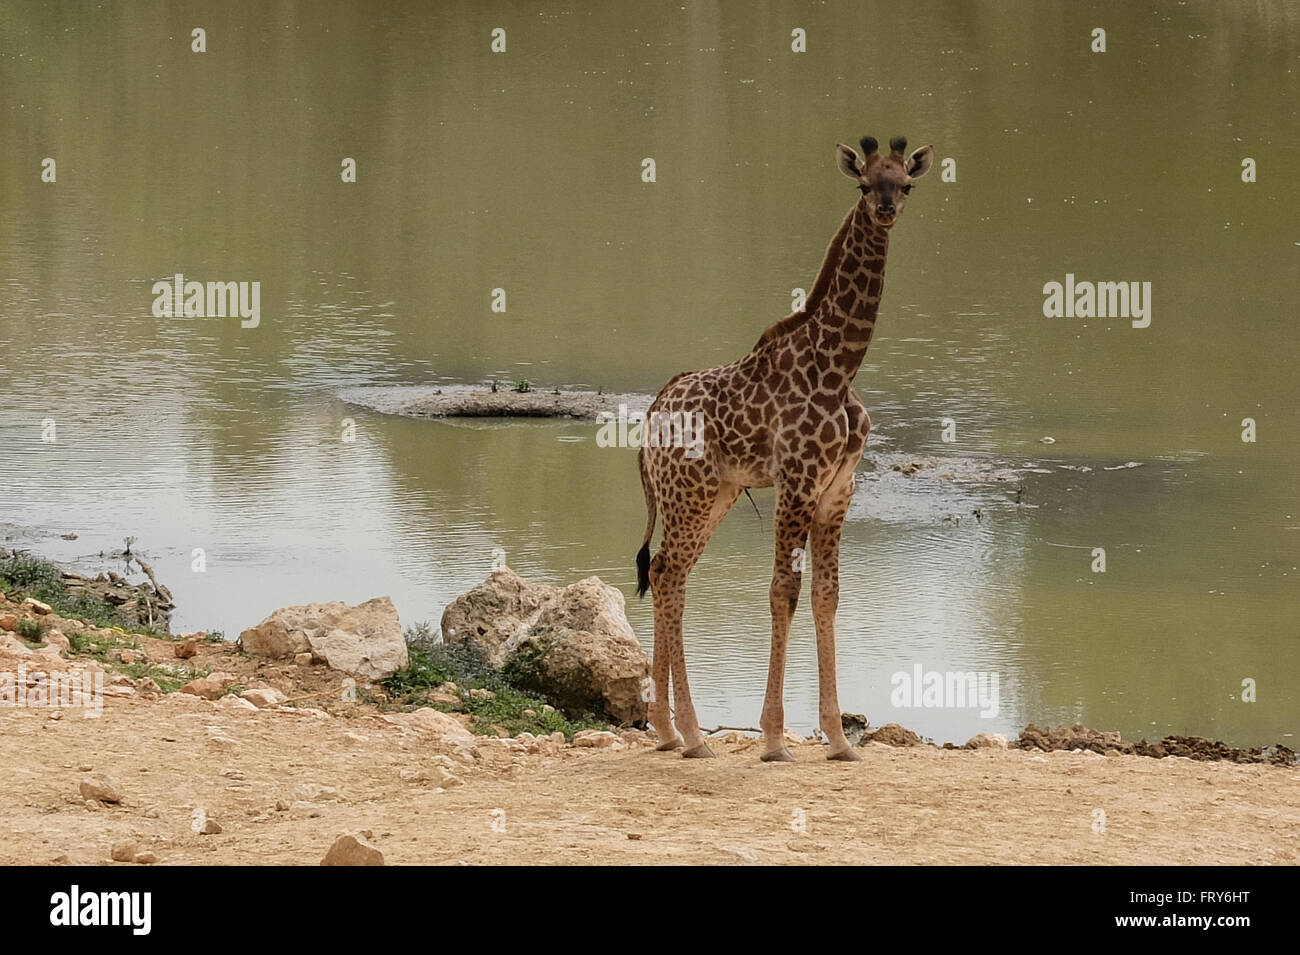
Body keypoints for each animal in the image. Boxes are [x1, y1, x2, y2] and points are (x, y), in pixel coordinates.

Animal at [634, 134, 930, 764]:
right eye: (864, 183)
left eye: (906, 185)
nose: (886, 210)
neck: (839, 367)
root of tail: (651, 415)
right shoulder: (797, 481)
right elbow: (783, 592)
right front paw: (773, 739)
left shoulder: (839, 488)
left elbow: (826, 595)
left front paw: (839, 741)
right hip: (691, 495)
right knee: (670, 574)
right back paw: (692, 735)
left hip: (714, 495)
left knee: (670, 571)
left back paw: (670, 732)